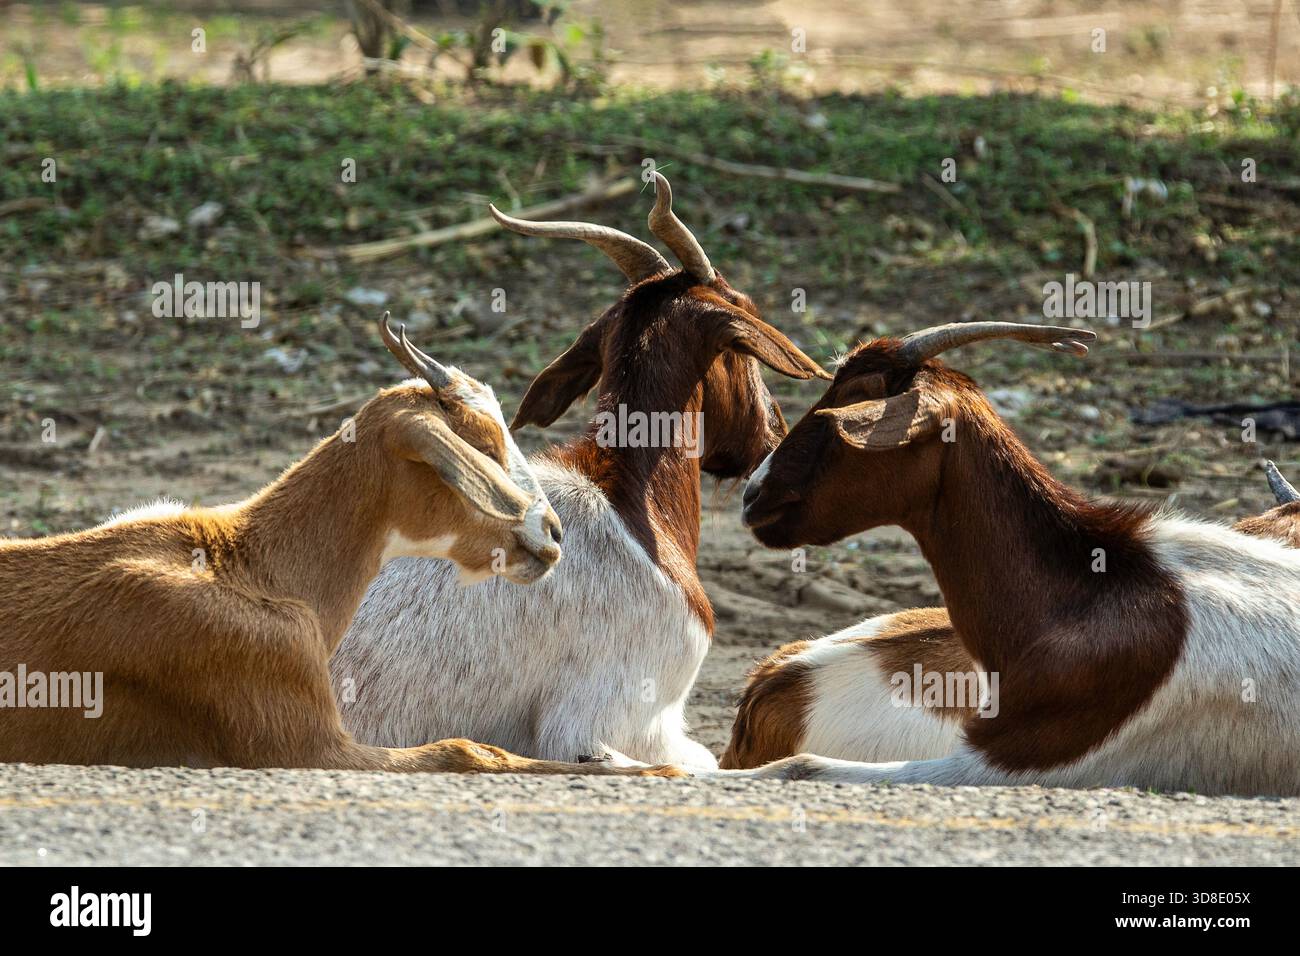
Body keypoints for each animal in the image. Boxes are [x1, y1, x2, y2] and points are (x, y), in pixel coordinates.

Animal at [0, 316, 683, 778]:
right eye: (482, 441)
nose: (553, 535)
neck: (252, 569)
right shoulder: (309, 747)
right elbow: (468, 748)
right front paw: (648, 768)